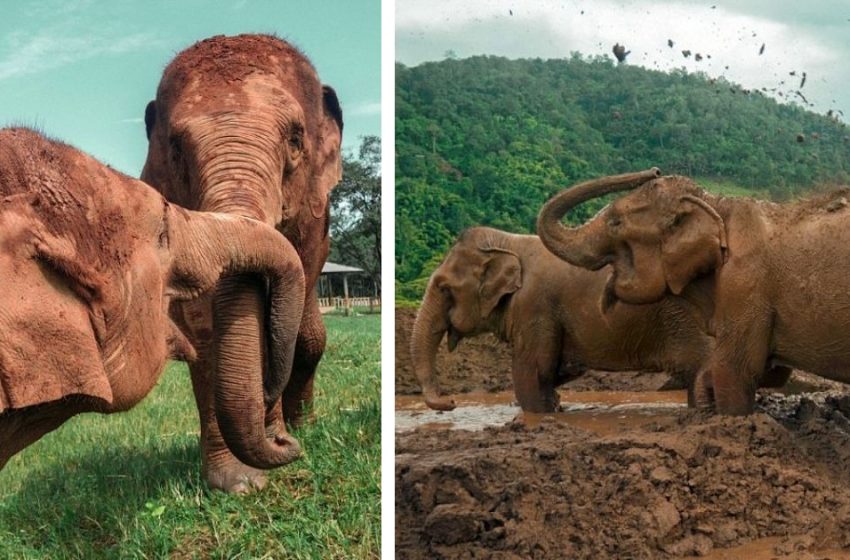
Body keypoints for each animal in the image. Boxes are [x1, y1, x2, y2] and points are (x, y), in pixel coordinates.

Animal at [139, 34, 342, 490]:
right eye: (176, 148)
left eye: (295, 140)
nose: (283, 443)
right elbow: (201, 324)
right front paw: (238, 482)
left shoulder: (311, 219)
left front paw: (277, 439)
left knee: (309, 336)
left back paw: (304, 424)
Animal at [410, 225, 728, 414]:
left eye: (444, 288)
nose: (451, 402)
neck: (508, 241)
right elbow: (554, 369)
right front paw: (557, 404)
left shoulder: (534, 306)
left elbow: (532, 372)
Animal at [536, 168, 848, 414]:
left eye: (616, 223)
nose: (654, 170)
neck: (717, 204)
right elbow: (763, 371)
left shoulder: (744, 287)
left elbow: (736, 371)